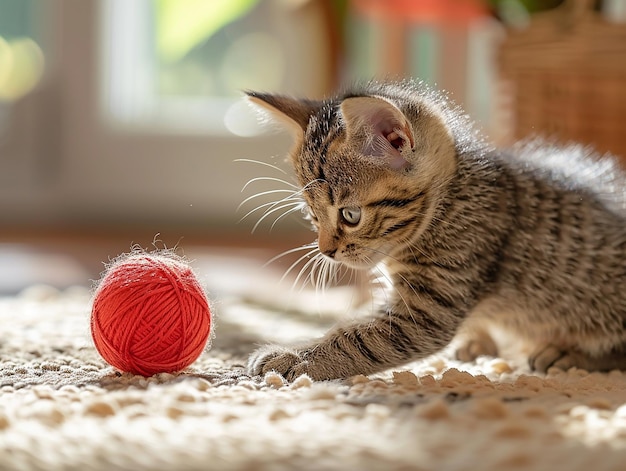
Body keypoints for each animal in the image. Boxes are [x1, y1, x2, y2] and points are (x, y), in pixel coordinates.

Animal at [243, 80, 624, 384]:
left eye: (351, 215)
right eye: (312, 215)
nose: (326, 251)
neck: (448, 200)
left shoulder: (428, 307)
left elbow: (361, 339)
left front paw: (296, 357)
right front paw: (478, 338)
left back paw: (570, 354)